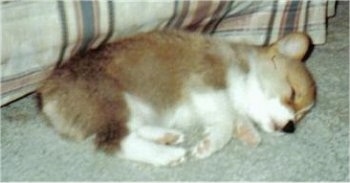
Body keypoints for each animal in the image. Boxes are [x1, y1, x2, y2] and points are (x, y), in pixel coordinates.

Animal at [37, 29, 316, 167]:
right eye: (293, 93)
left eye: (303, 115)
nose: (291, 127)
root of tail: (48, 94)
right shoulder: (206, 84)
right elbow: (225, 120)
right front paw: (209, 145)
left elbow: (236, 118)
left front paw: (249, 134)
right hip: (116, 101)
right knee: (114, 141)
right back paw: (166, 155)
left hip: (135, 108)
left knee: (132, 129)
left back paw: (167, 136)